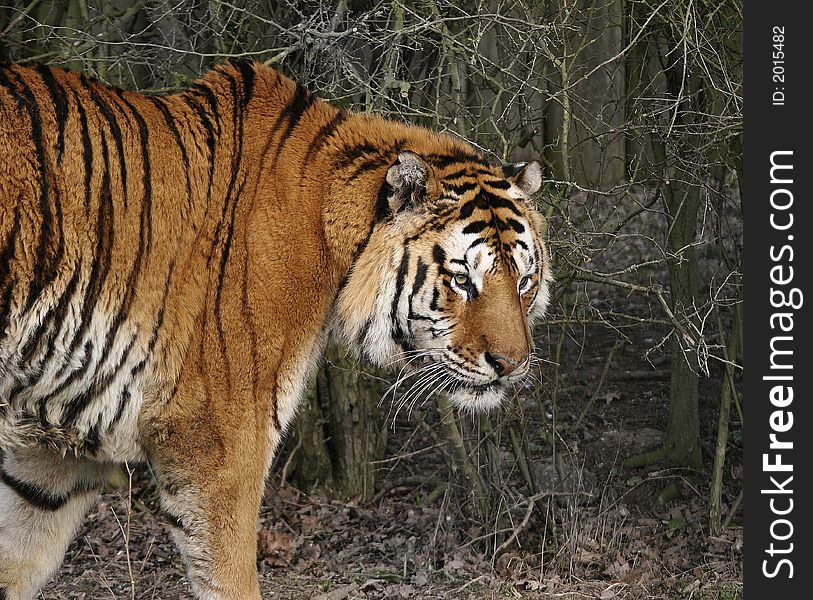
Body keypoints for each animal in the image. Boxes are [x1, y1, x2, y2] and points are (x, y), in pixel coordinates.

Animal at [0, 62, 552, 600]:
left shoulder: (54, 453)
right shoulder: (220, 444)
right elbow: (231, 578)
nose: (512, 365)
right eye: (462, 279)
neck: (334, 239)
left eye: (524, 281)